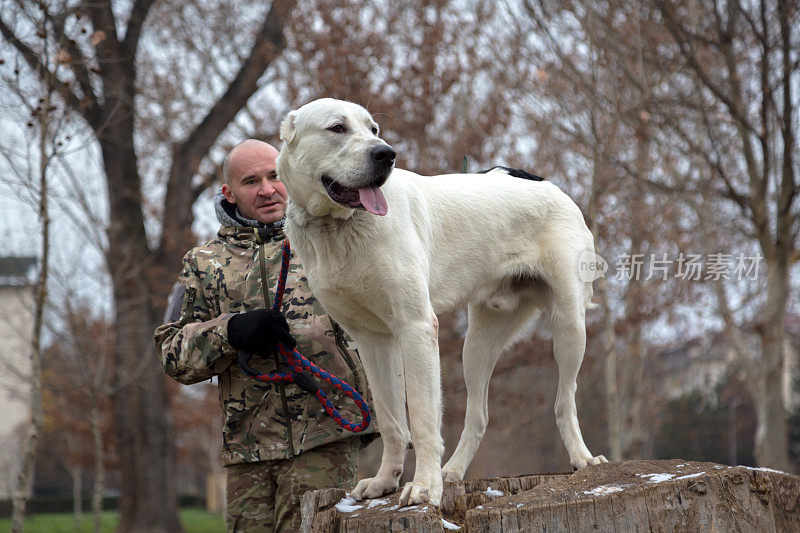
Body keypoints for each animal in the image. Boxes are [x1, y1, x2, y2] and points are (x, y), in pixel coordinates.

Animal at [276, 97, 608, 504]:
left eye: (373, 129)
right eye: (337, 128)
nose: (386, 154)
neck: (339, 226)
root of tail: (542, 181)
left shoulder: (416, 328)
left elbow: (421, 417)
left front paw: (424, 487)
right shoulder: (372, 339)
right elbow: (391, 420)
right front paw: (385, 481)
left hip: (569, 324)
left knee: (565, 400)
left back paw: (582, 458)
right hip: (477, 345)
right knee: (479, 415)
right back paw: (453, 471)